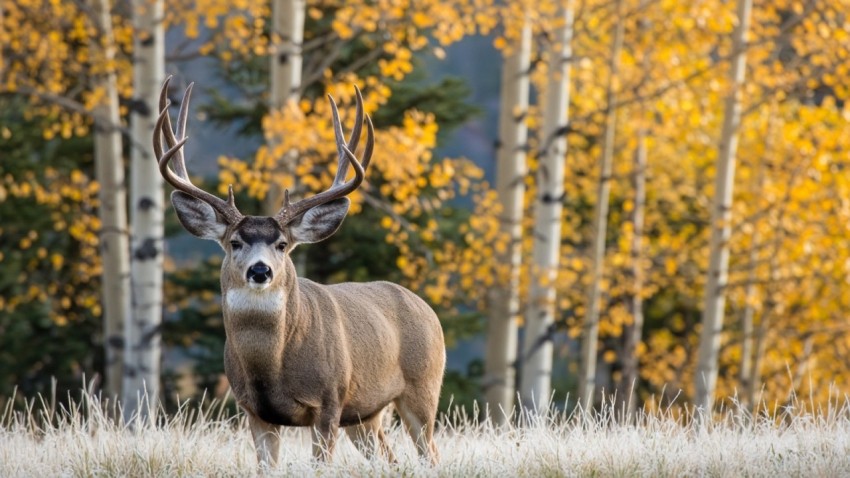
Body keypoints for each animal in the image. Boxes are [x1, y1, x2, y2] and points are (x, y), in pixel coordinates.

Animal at [153, 77, 445, 467]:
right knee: (390, 458)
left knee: (430, 452)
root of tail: (427, 309)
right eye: (234, 242)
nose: (260, 270)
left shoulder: (330, 400)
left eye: (281, 244)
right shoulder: (253, 411)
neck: (271, 367)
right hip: (366, 414)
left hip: (422, 387)